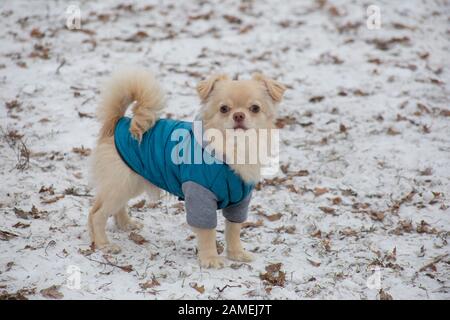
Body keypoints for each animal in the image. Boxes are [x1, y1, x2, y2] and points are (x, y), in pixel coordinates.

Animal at [88, 69, 284, 268]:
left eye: (255, 108)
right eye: (224, 109)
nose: (238, 115)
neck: (233, 148)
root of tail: (118, 122)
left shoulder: (239, 202)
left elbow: (233, 230)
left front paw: (237, 254)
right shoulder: (200, 197)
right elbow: (208, 233)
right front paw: (210, 259)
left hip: (130, 183)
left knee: (115, 207)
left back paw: (125, 224)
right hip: (121, 185)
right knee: (96, 214)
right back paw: (104, 244)